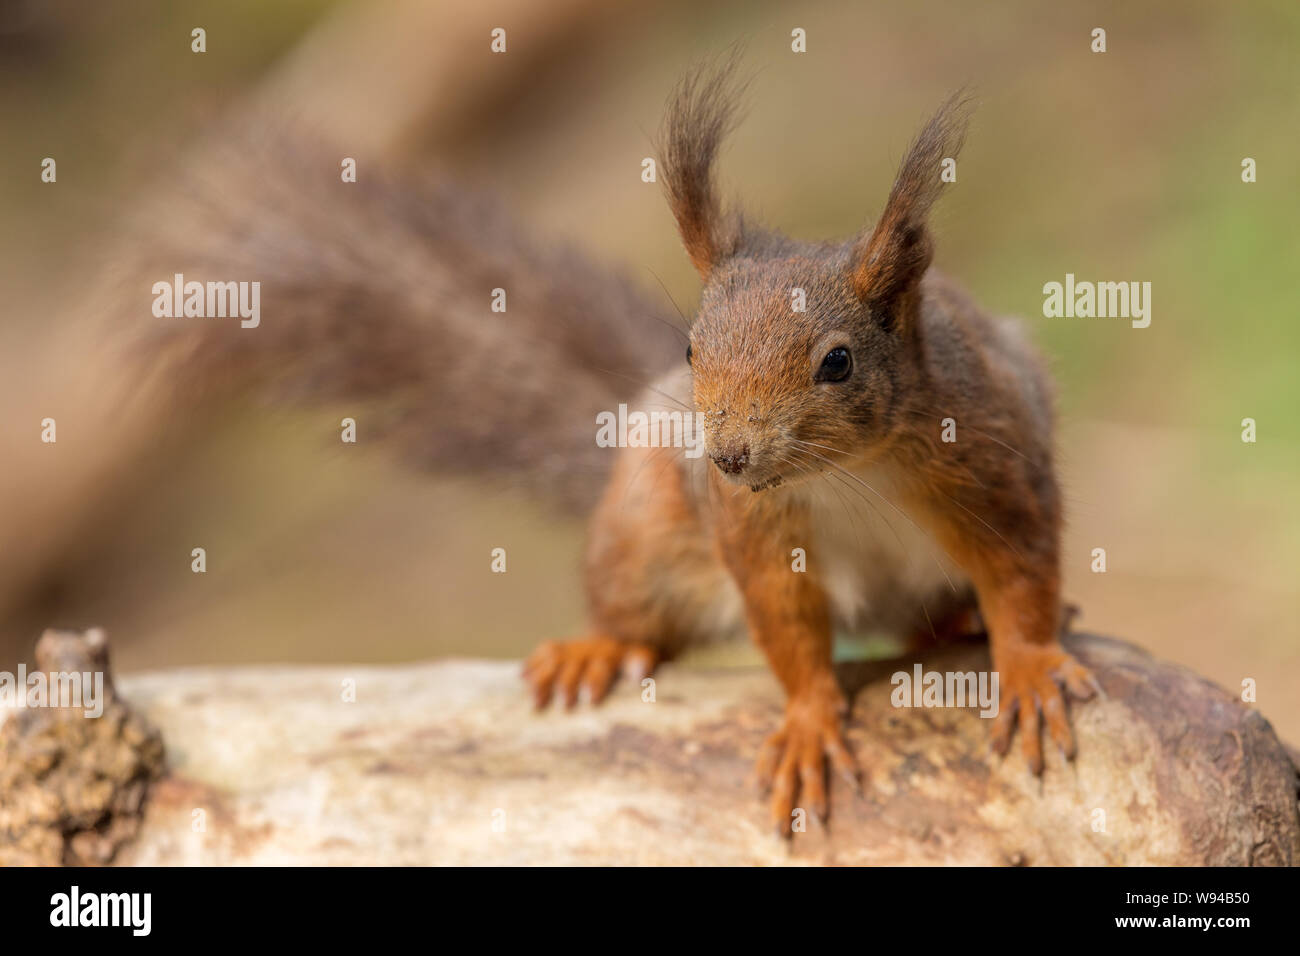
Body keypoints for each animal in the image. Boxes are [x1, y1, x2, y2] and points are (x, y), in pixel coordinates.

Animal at [522, 63, 1092, 832]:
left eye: (838, 362)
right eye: (690, 349)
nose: (730, 457)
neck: (847, 472)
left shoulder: (990, 455)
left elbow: (1019, 568)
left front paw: (1030, 667)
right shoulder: (751, 521)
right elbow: (785, 620)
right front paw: (807, 724)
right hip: (646, 521)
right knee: (633, 599)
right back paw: (596, 647)